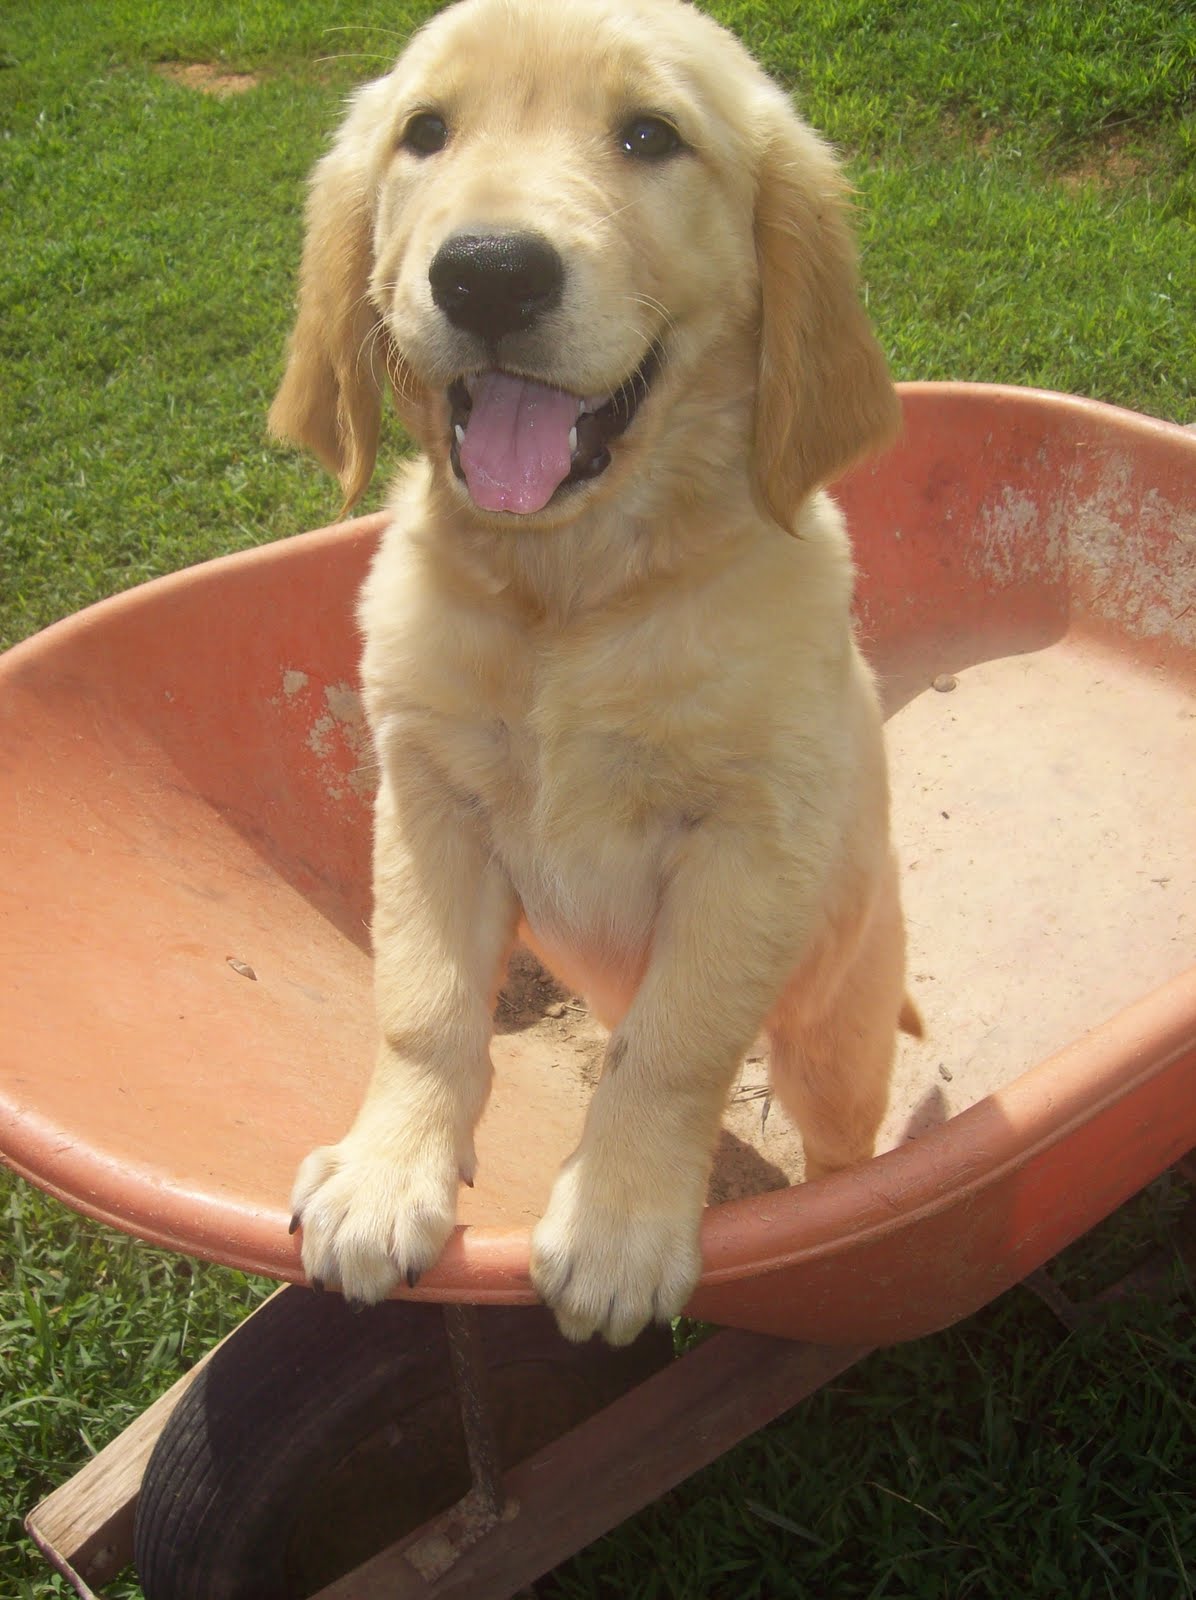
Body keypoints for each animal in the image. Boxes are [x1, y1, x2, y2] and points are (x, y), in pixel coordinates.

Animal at [273, 0, 908, 1344]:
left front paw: (618, 1222)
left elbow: (670, 1050)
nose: (487, 271)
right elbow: (422, 1006)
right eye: (424, 132)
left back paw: (847, 1214)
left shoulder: (750, 839)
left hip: (837, 1029)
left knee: (837, 1135)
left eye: (648, 136)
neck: (569, 594)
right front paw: (385, 1171)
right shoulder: (428, 803)